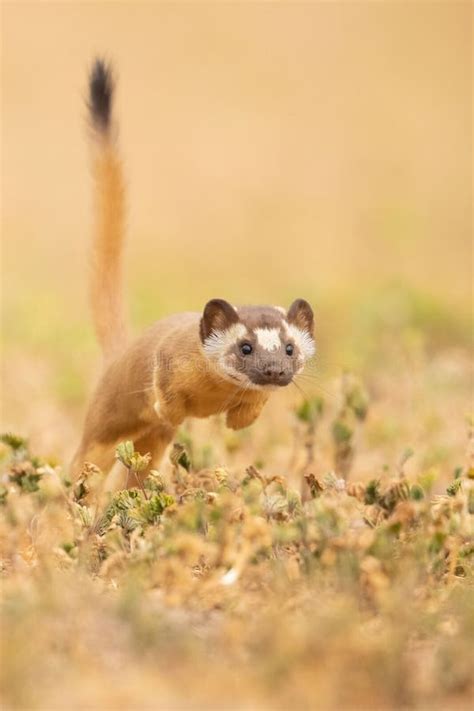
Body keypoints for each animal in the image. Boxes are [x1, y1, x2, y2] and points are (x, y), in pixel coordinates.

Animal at [71, 59, 314, 484]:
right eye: (244, 346)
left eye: (289, 348)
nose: (273, 371)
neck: (212, 397)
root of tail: (119, 353)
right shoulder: (166, 367)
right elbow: (166, 402)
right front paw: (171, 410)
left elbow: (248, 412)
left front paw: (238, 421)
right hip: (103, 423)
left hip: (151, 443)